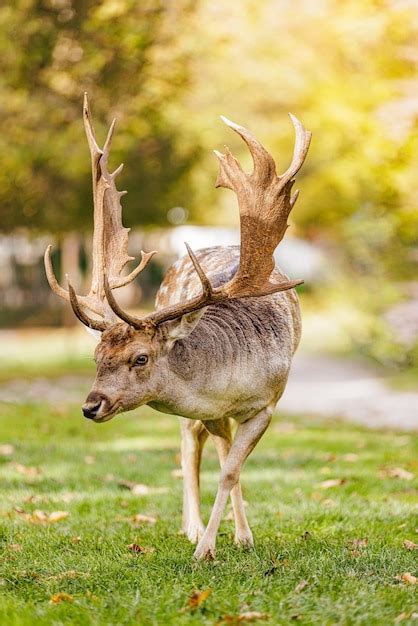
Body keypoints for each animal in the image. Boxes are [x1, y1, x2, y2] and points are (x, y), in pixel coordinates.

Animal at [44, 94, 310, 560]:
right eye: (96, 356)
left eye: (140, 358)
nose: (90, 405)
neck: (227, 385)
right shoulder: (211, 412)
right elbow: (215, 460)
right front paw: (204, 542)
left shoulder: (266, 404)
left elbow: (230, 469)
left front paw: (217, 545)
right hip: (198, 420)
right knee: (188, 446)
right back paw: (193, 526)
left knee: (212, 452)